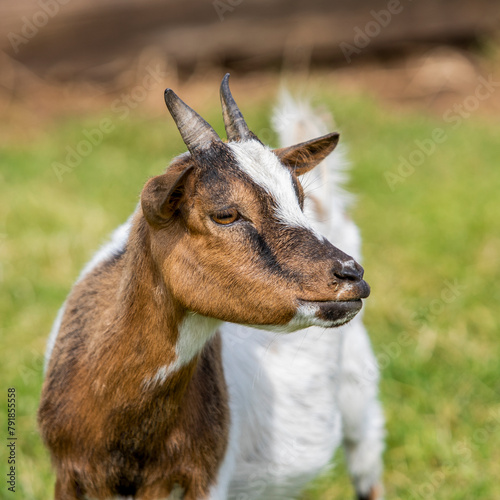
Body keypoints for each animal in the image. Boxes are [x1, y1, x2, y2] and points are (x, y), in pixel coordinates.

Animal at [39, 75, 384, 500]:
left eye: (297, 200)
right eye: (225, 214)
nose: (351, 275)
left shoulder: (207, 477)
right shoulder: (67, 473)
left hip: (358, 391)